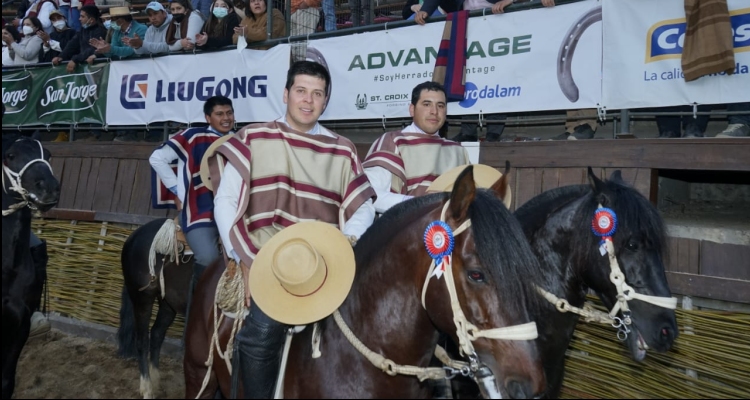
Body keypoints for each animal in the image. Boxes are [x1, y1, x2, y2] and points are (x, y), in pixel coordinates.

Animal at [117, 217, 192, 398]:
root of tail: (133, 236)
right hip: (142, 298)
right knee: (142, 340)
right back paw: (147, 388)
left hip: (168, 303)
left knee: (157, 333)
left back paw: (155, 380)